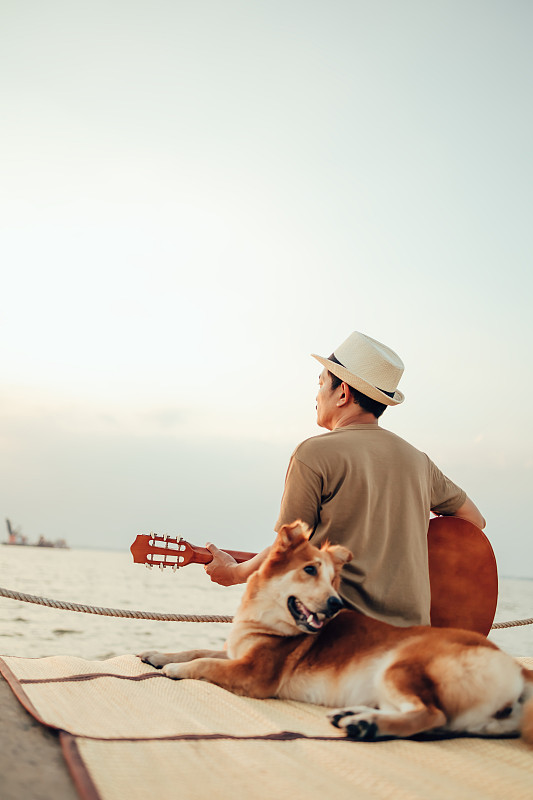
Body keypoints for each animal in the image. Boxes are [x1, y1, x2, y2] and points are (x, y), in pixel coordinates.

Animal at [138, 520, 532, 740]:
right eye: (310, 570)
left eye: (333, 580)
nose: (336, 604)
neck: (264, 618)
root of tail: (516, 667)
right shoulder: (235, 650)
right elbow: (198, 649)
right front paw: (158, 655)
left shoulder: (254, 673)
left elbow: (204, 663)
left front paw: (175, 668)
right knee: (442, 723)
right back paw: (357, 717)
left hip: (400, 666)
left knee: (431, 714)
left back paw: (367, 725)